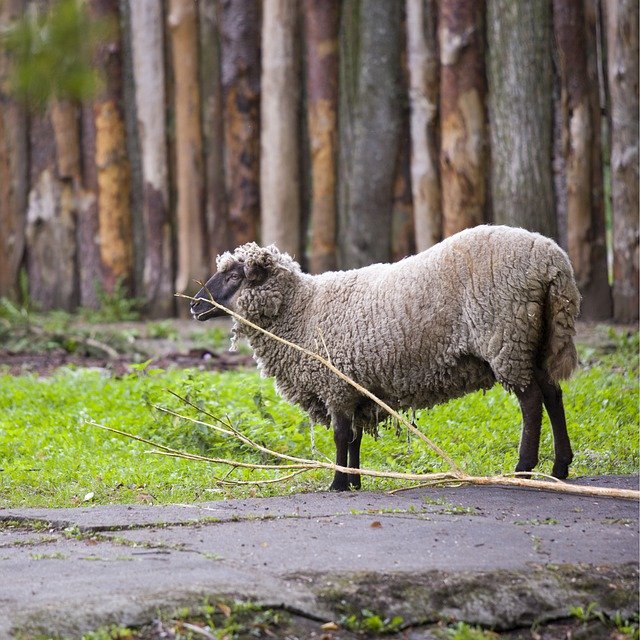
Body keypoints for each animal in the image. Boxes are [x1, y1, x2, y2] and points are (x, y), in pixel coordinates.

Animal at [190, 225, 580, 490]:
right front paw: (355, 481)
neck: (303, 311)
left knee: (531, 403)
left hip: (506, 338)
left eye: (234, 275)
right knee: (553, 394)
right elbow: (354, 436)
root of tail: (553, 262)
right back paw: (560, 468)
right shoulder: (356, 385)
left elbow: (340, 434)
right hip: (534, 341)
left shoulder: (336, 384)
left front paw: (337, 483)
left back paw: (523, 470)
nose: (194, 306)